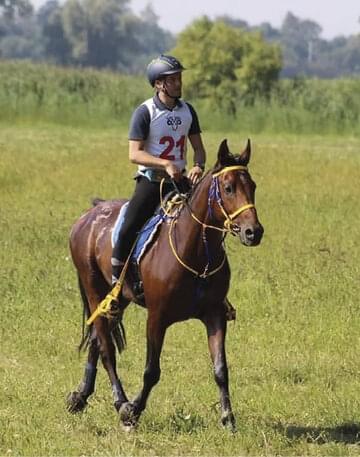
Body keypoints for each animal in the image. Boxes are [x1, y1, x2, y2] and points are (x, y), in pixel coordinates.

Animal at [66, 139, 262, 432]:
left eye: (253, 186)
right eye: (228, 188)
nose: (254, 232)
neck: (196, 253)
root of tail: (89, 214)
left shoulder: (215, 315)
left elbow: (220, 369)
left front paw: (228, 419)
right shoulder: (157, 318)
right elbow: (151, 371)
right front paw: (133, 411)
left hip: (118, 300)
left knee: (97, 341)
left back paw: (80, 397)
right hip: (94, 290)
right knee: (106, 349)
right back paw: (120, 402)